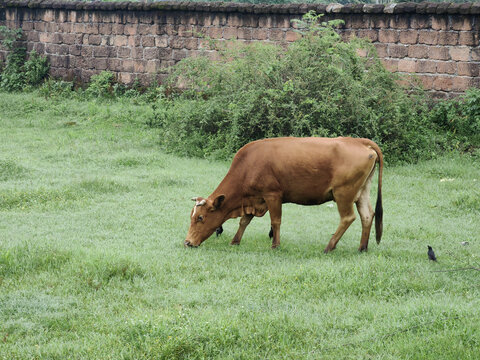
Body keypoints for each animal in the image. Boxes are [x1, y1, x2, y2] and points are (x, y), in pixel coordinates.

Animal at [184, 136, 382, 253]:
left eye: (200, 218)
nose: (187, 242)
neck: (248, 165)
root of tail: (359, 141)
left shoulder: (272, 196)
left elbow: (275, 221)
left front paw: (275, 245)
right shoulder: (254, 199)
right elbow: (244, 221)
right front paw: (235, 241)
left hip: (343, 194)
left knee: (348, 218)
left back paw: (329, 246)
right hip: (362, 192)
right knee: (367, 215)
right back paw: (362, 247)